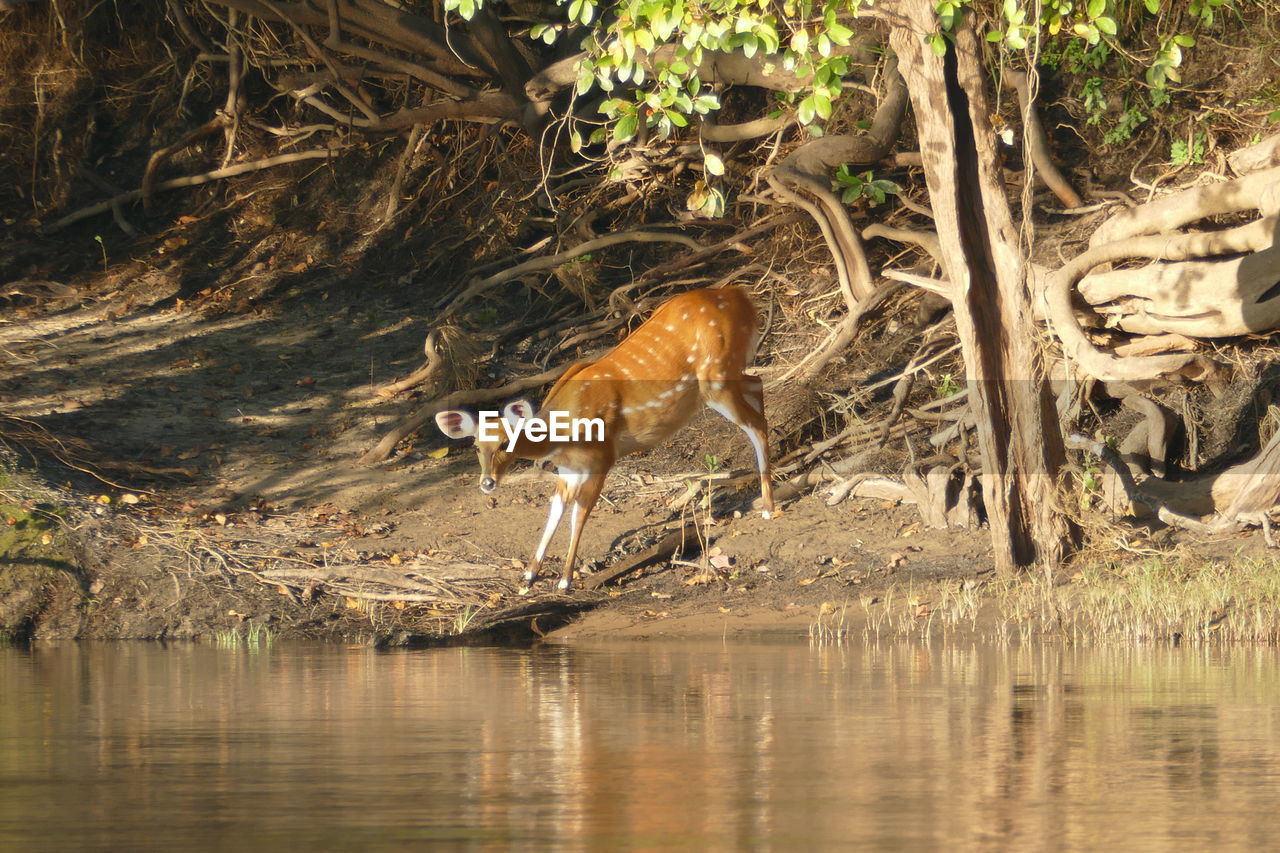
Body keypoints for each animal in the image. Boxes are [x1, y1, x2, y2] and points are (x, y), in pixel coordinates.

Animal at [440, 281, 773, 589]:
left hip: (716, 376)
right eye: (475, 445)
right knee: (757, 384)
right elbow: (555, 509)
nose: (487, 483)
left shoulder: (601, 457)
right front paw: (529, 575)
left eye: (505, 442)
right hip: (729, 374)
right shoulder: (568, 469)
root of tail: (741, 296)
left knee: (755, 422)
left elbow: (580, 513)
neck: (562, 436)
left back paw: (769, 508)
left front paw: (565, 580)